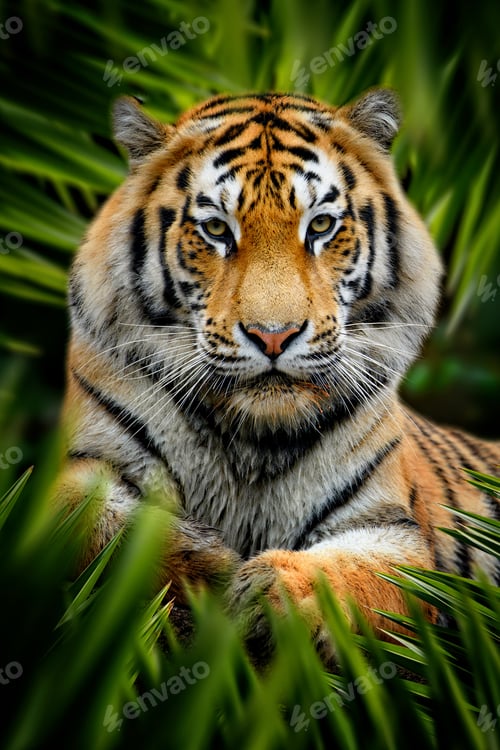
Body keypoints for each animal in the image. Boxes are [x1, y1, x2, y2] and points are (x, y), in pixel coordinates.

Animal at [55, 88, 500, 661]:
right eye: (216, 229)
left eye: (321, 226)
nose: (273, 335)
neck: (253, 438)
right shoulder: (75, 463)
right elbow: (89, 514)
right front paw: (206, 568)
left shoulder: (389, 527)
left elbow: (358, 574)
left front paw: (274, 592)